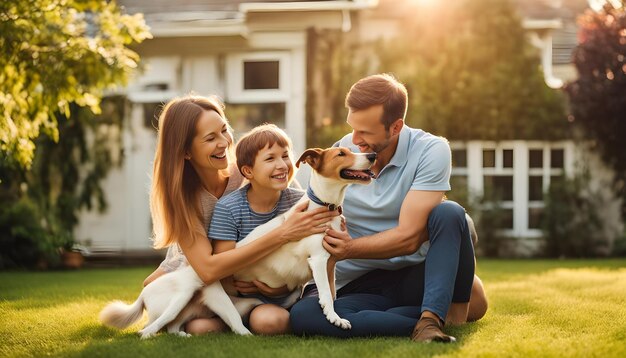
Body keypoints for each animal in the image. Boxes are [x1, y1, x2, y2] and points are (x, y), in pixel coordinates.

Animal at [100, 147, 376, 338]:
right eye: (341, 153)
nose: (372, 154)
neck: (323, 205)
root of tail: (143, 293)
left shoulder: (330, 263)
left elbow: (332, 292)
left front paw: (333, 314)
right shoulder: (318, 261)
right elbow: (328, 296)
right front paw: (333, 318)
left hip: (219, 306)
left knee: (174, 327)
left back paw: (183, 335)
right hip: (183, 298)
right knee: (149, 329)